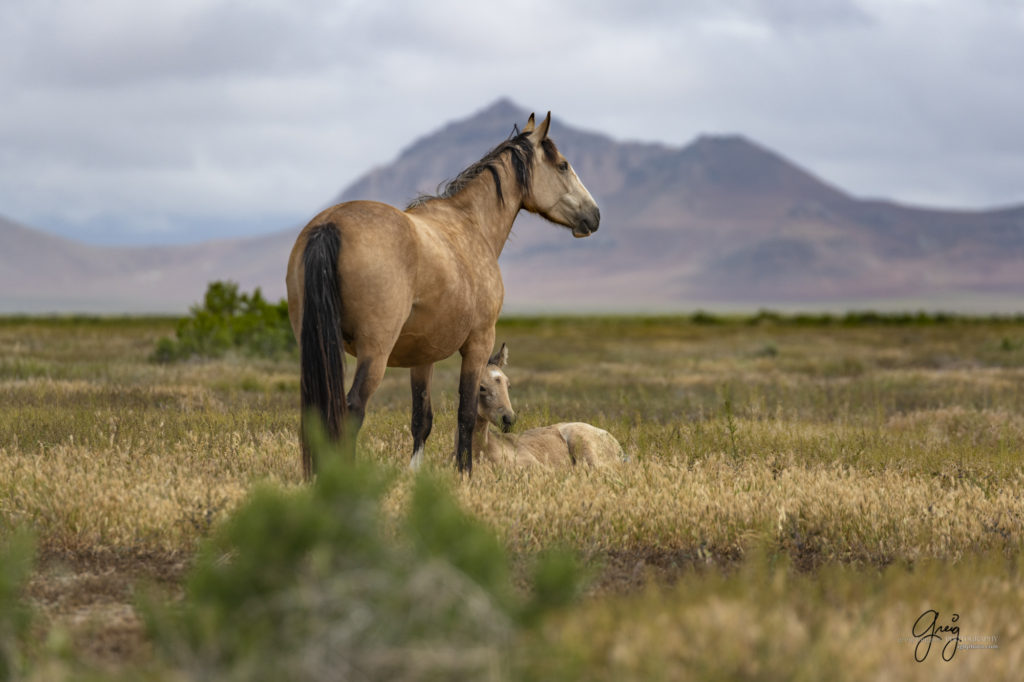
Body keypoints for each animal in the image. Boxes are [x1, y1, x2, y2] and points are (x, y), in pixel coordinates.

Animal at [284, 111, 598, 475]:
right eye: (562, 165)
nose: (594, 215)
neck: (471, 224)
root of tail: (329, 226)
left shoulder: (423, 358)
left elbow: (422, 419)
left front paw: (415, 474)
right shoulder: (478, 343)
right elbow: (465, 412)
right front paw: (465, 472)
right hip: (374, 352)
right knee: (352, 410)